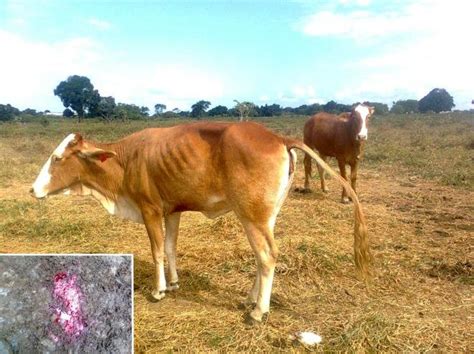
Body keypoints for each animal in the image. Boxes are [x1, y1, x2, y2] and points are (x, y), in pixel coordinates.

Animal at [30, 121, 374, 324]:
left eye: (58, 158)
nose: (33, 189)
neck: (126, 160)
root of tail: (278, 136)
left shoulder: (150, 209)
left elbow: (157, 251)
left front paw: (159, 290)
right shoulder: (172, 211)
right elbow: (170, 248)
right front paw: (174, 282)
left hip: (251, 216)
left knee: (267, 257)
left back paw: (259, 311)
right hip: (266, 216)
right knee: (262, 258)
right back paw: (250, 299)